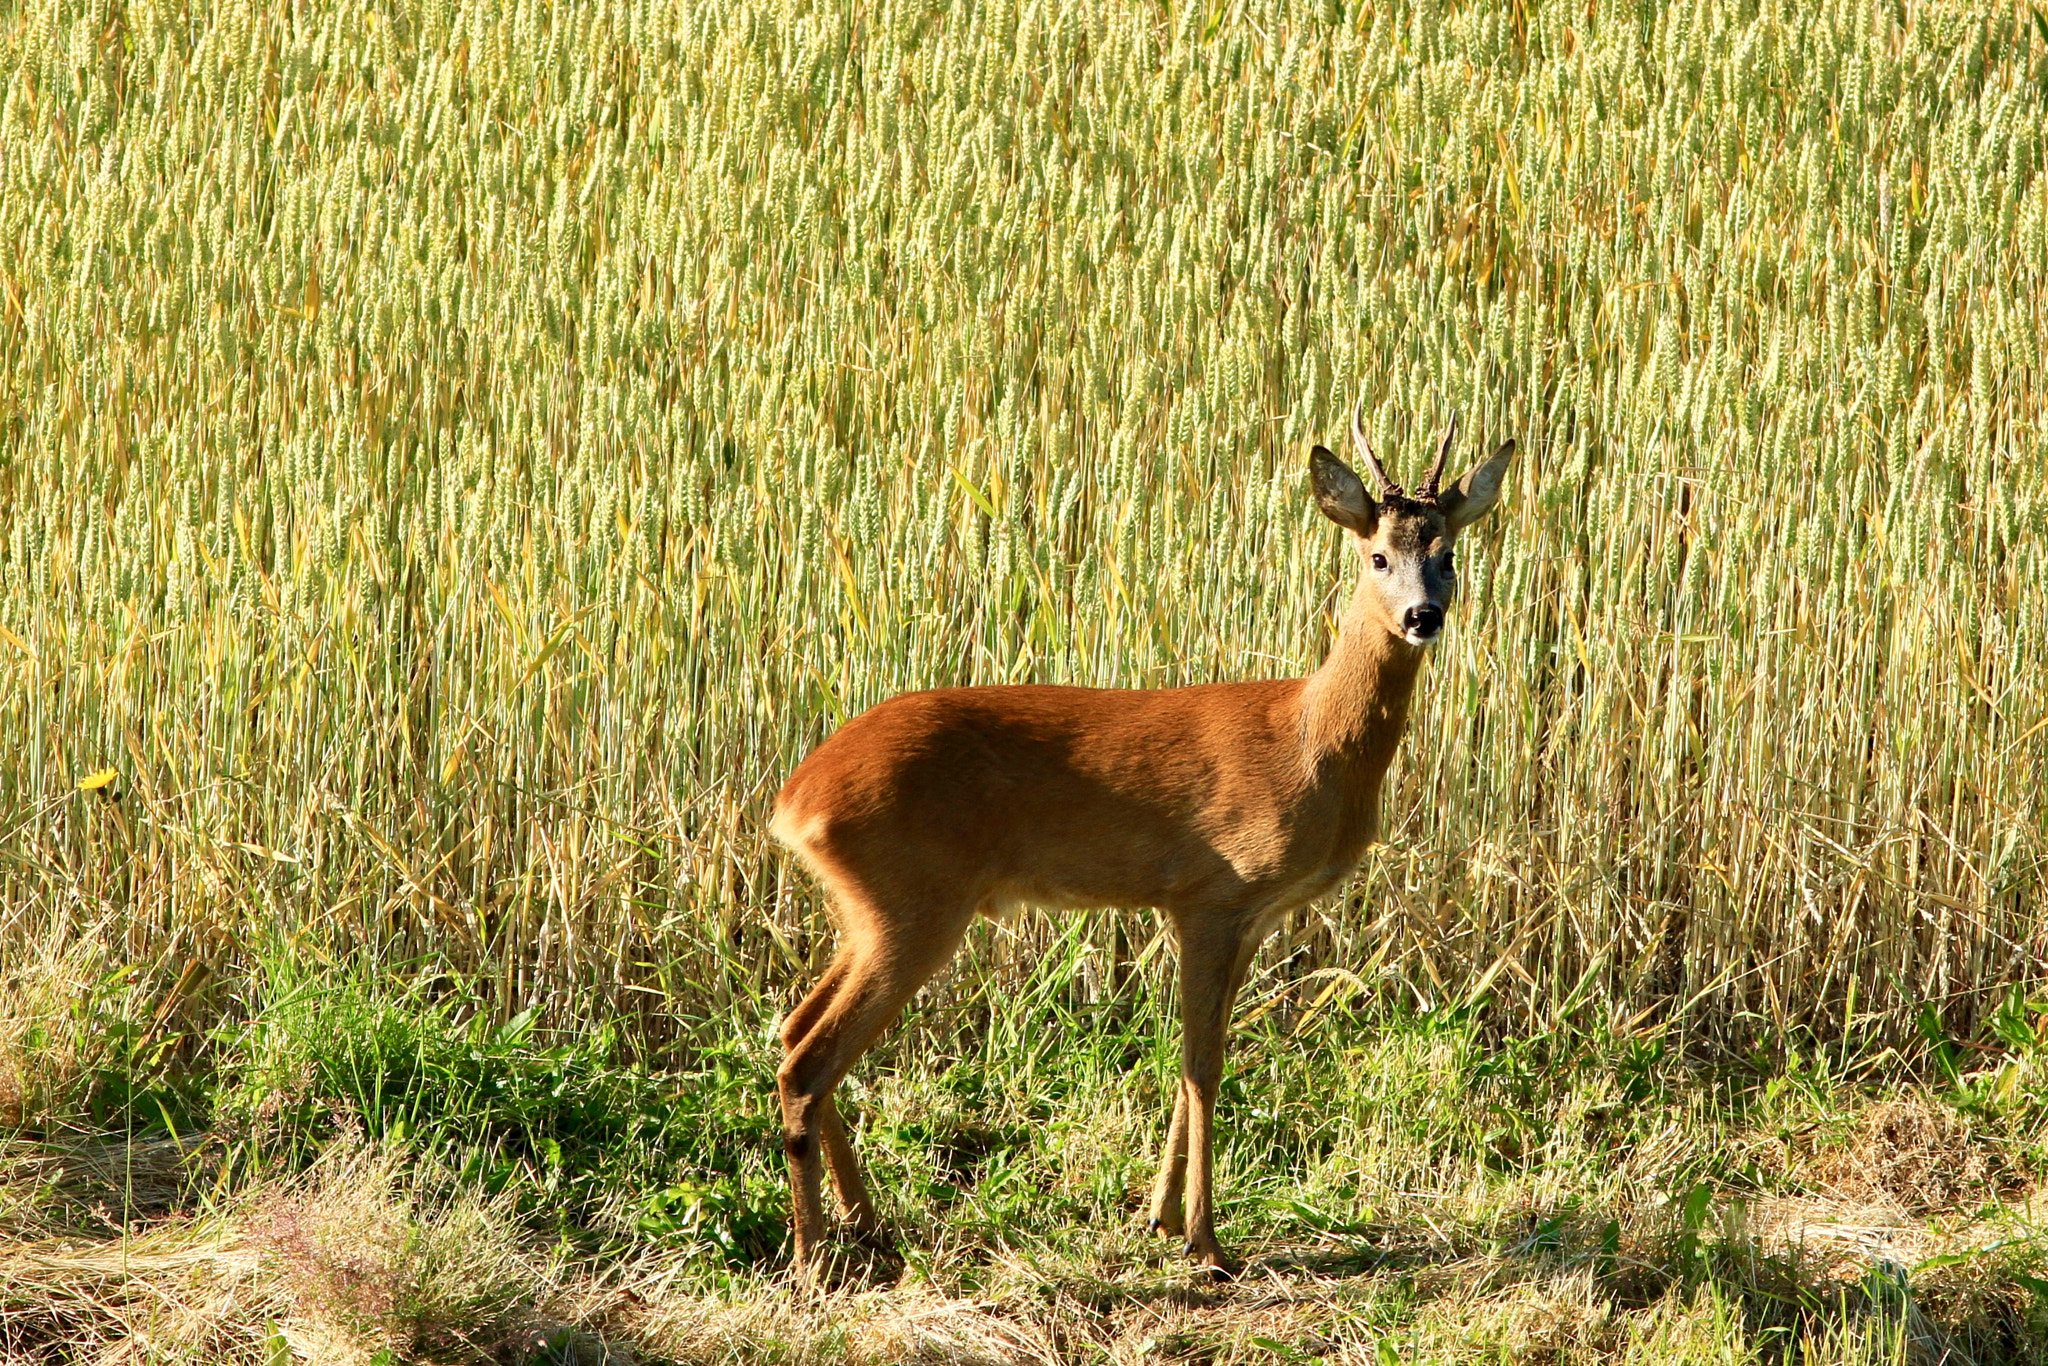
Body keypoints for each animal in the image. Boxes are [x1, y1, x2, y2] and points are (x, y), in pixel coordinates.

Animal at [770, 409, 1523, 1286]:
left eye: (1448, 554)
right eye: (1377, 554)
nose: (1422, 616)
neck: (1310, 743)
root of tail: (794, 800)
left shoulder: (1242, 916)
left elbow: (1198, 1055)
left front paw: (1157, 1217)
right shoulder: (1211, 895)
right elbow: (1203, 1066)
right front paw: (1207, 1243)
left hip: (868, 910)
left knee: (796, 1031)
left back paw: (867, 1226)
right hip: (912, 904)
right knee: (810, 1057)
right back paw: (815, 1256)